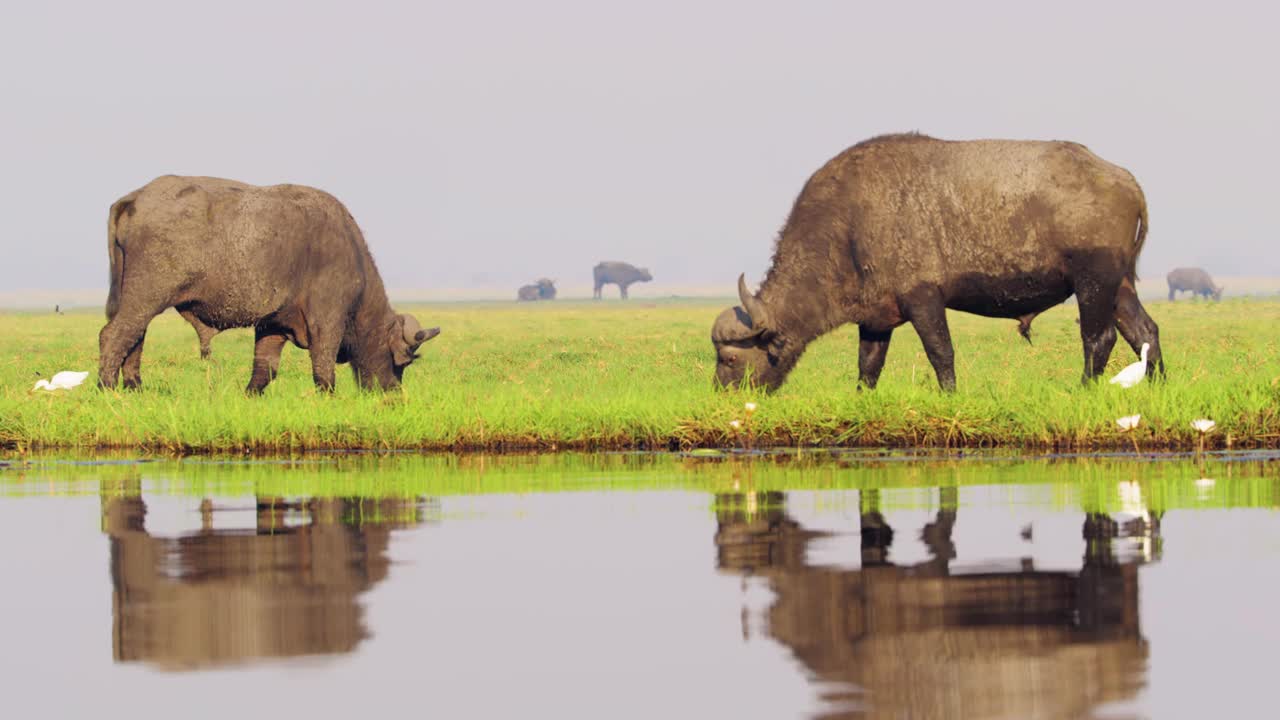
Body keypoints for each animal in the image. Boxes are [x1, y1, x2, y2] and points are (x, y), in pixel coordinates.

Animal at [101, 175, 440, 392]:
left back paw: (134, 387)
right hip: (146, 297)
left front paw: (250, 395)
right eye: (401, 361)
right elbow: (323, 368)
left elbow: (265, 370)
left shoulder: (273, 325)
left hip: (131, 298)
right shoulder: (327, 322)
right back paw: (107, 387)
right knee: (114, 336)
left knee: (134, 338)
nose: (393, 394)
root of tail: (135, 198)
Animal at [716, 134, 1167, 392]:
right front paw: (862, 399)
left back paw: (1085, 387)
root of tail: (1123, 178)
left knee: (1099, 338)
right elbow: (868, 365)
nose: (722, 393)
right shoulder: (876, 317)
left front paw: (950, 395)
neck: (848, 225)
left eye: (730, 358)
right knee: (1145, 331)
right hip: (1120, 285)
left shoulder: (923, 299)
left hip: (1093, 281)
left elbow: (940, 351)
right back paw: (1158, 386)